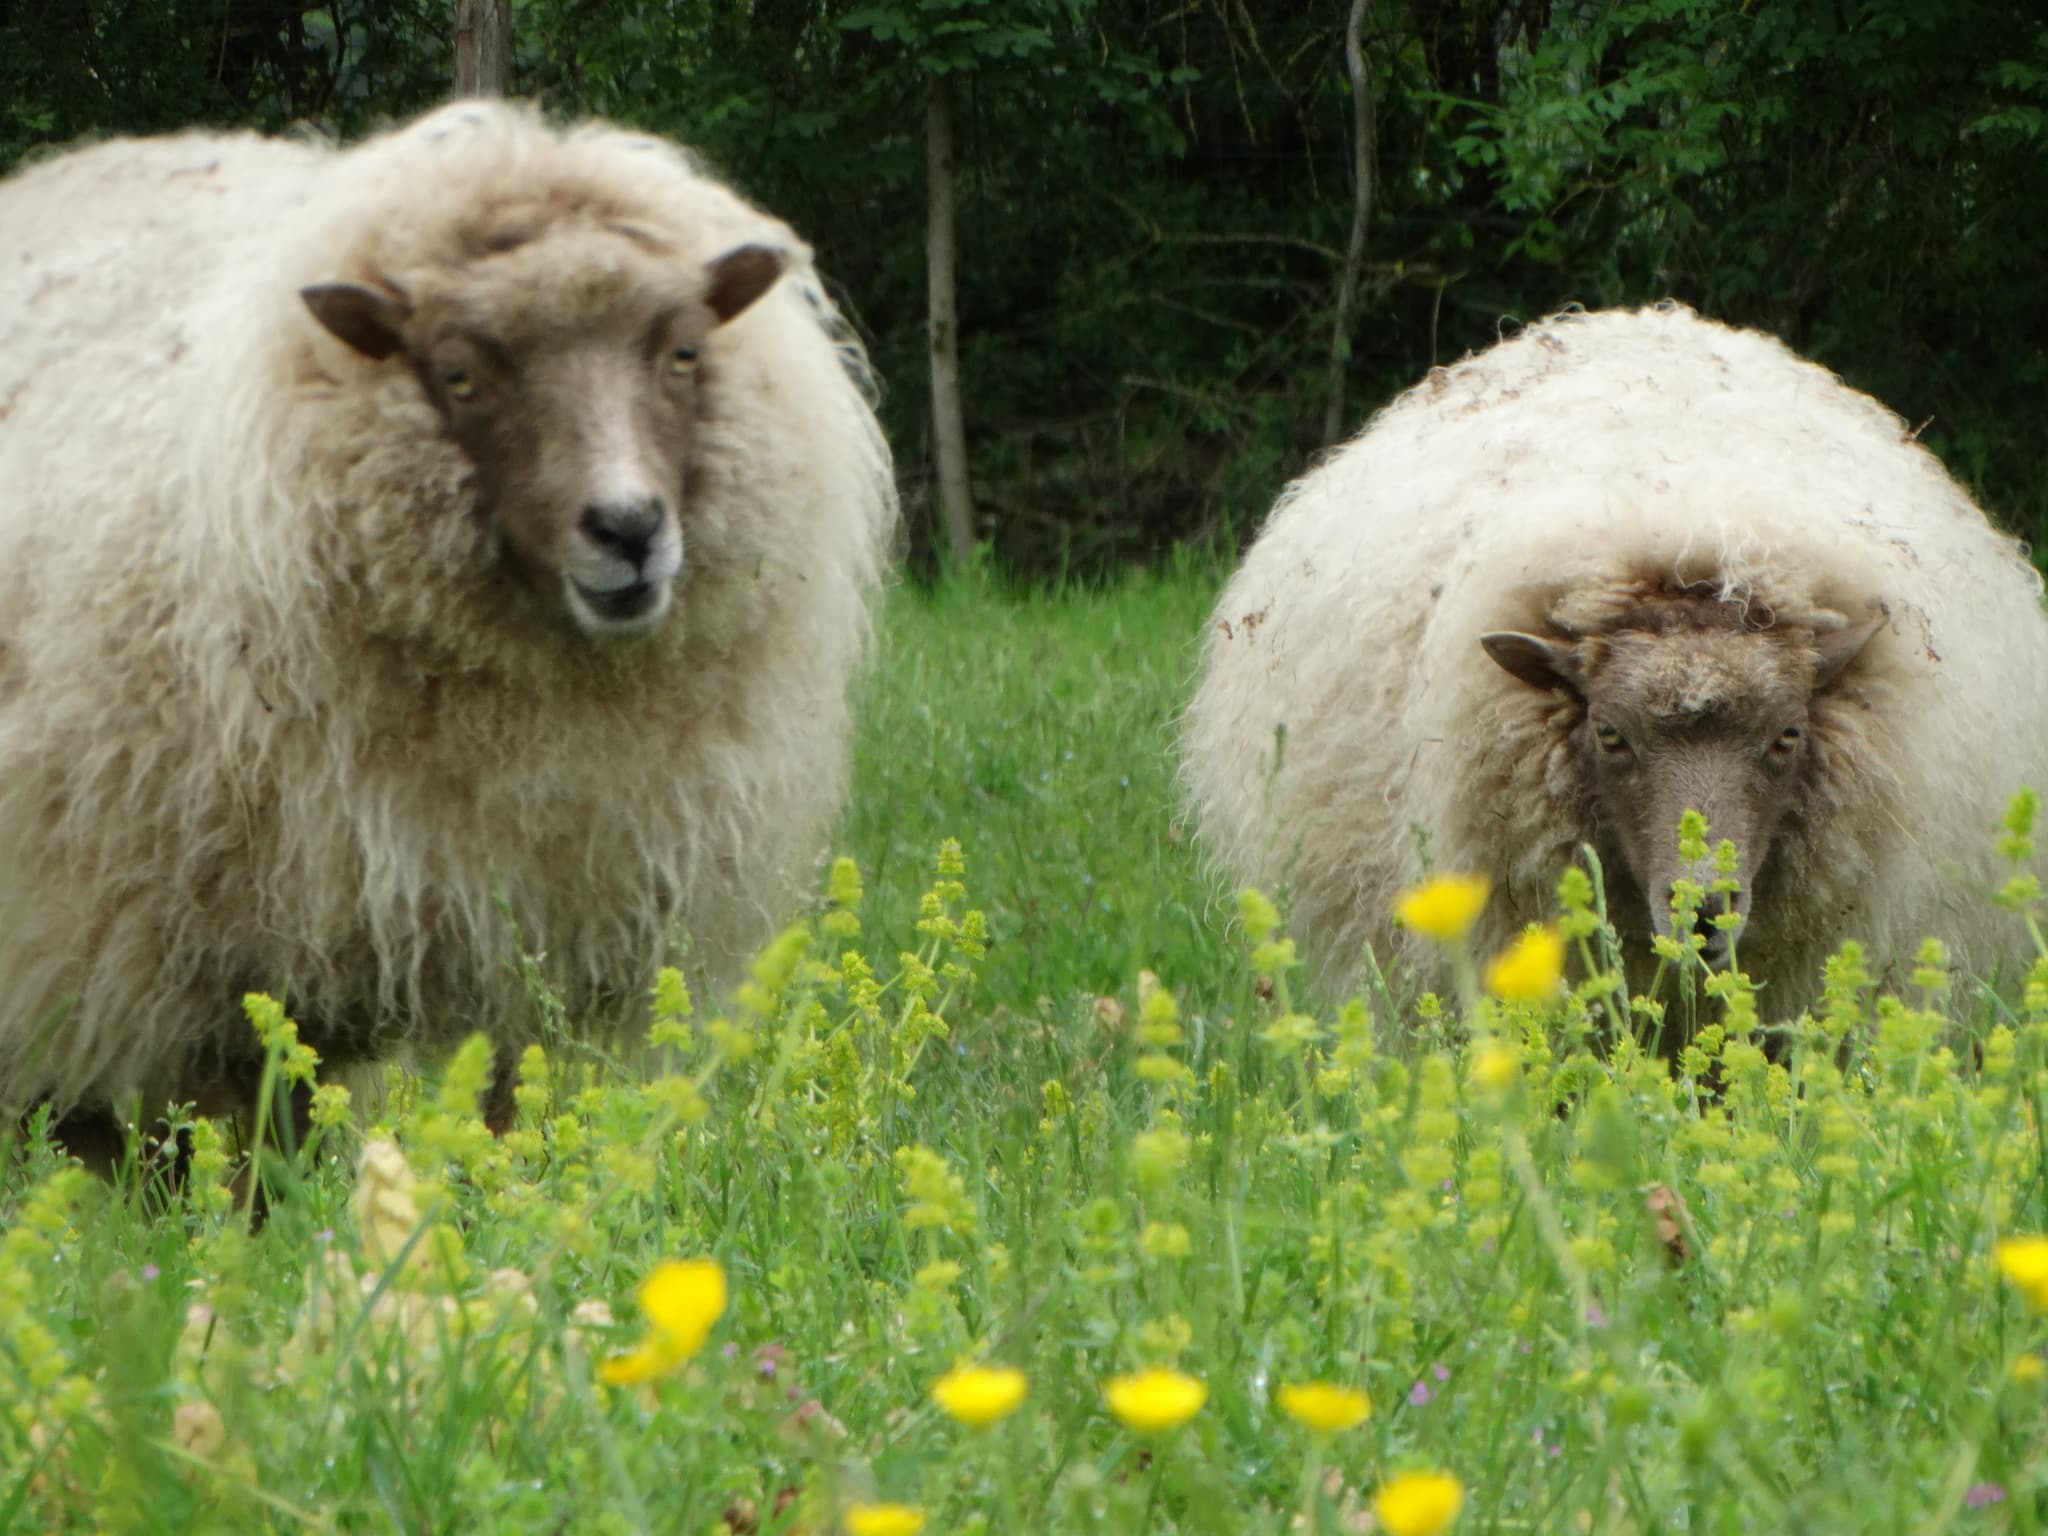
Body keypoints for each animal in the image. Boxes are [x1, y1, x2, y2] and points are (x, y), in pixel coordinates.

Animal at [0, 101, 897, 1146]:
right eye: (460, 375)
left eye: (682, 352)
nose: (629, 528)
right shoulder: (181, 956)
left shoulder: (542, 926)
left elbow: (513, 1111)